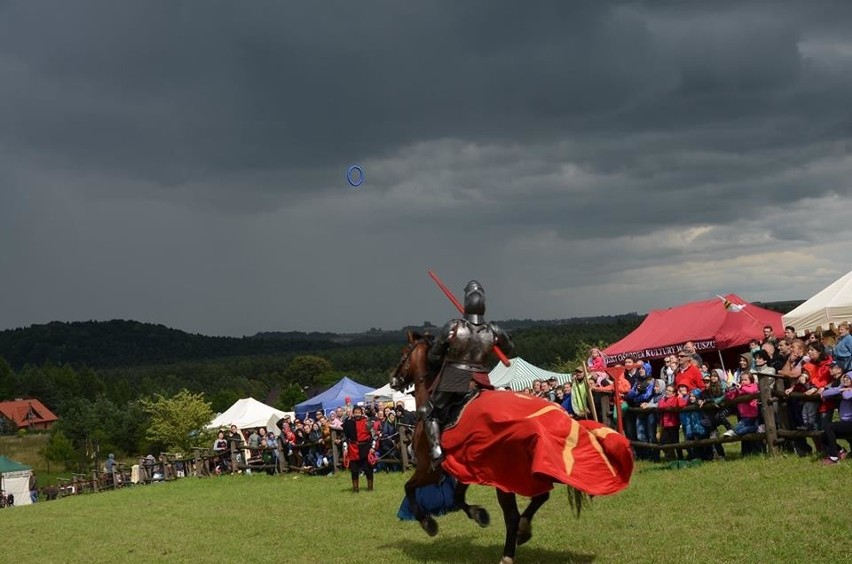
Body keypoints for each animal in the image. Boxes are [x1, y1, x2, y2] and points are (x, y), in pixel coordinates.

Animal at [392, 332, 632, 560]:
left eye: (403, 355)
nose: (394, 380)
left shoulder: (430, 470)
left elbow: (409, 487)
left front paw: (428, 523)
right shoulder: (463, 469)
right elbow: (457, 498)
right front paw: (479, 515)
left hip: (505, 477)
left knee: (514, 516)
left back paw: (508, 553)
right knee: (540, 497)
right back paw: (523, 532)